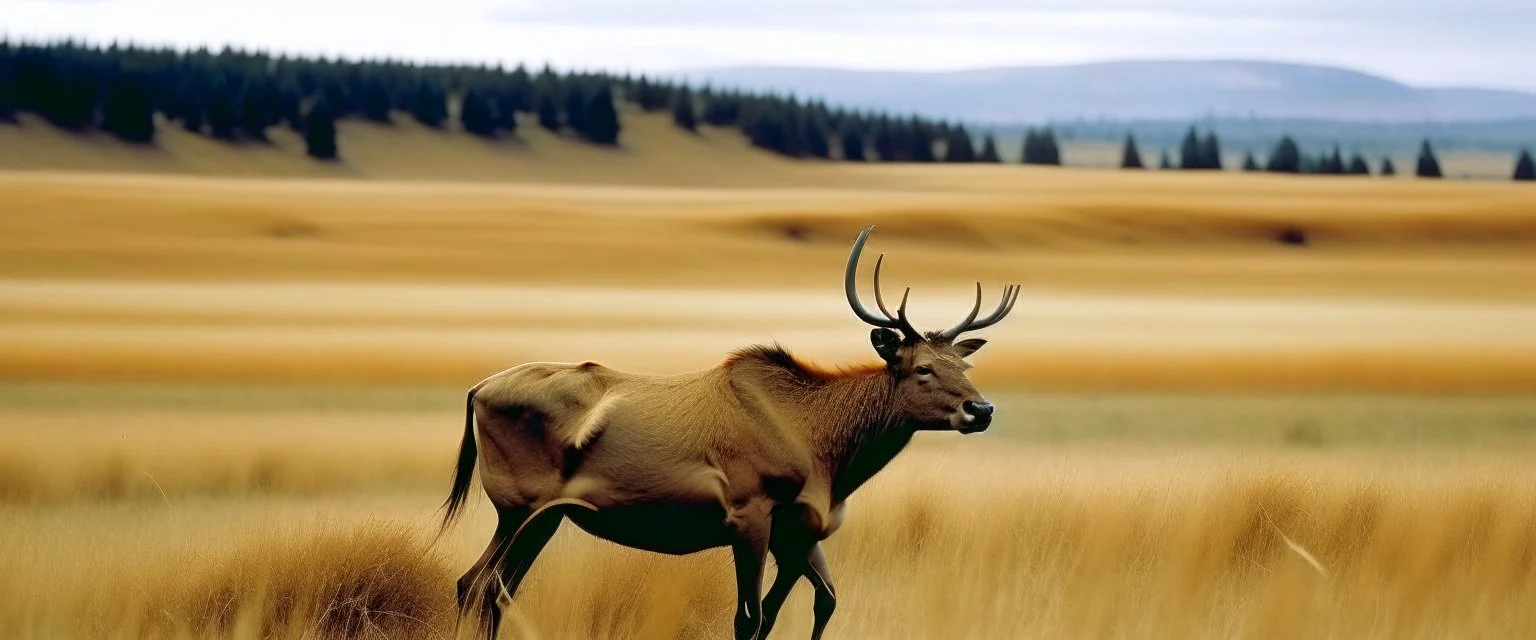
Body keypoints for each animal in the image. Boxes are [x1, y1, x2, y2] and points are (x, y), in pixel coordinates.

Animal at [439, 224, 1019, 638]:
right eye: (922, 368)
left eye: (963, 365)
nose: (981, 409)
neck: (828, 452)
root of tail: (476, 390)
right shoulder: (749, 515)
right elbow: (749, 619)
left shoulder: (799, 533)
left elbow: (819, 604)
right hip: (521, 506)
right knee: (478, 584)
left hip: (544, 517)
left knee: (489, 588)